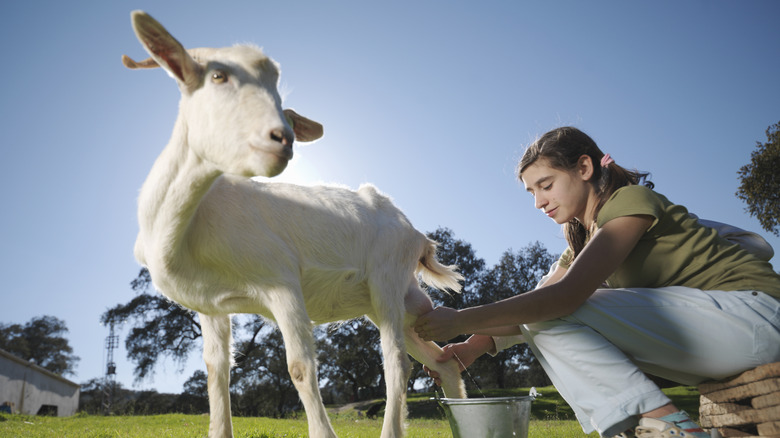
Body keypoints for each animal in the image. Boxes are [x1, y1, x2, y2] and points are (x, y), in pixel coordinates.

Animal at [123, 10, 466, 438]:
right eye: (218, 75)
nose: (281, 138)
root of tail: (417, 234)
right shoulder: (211, 307)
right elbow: (216, 371)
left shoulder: (282, 282)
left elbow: (300, 367)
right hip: (398, 302)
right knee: (442, 360)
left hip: (386, 278)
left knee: (397, 363)